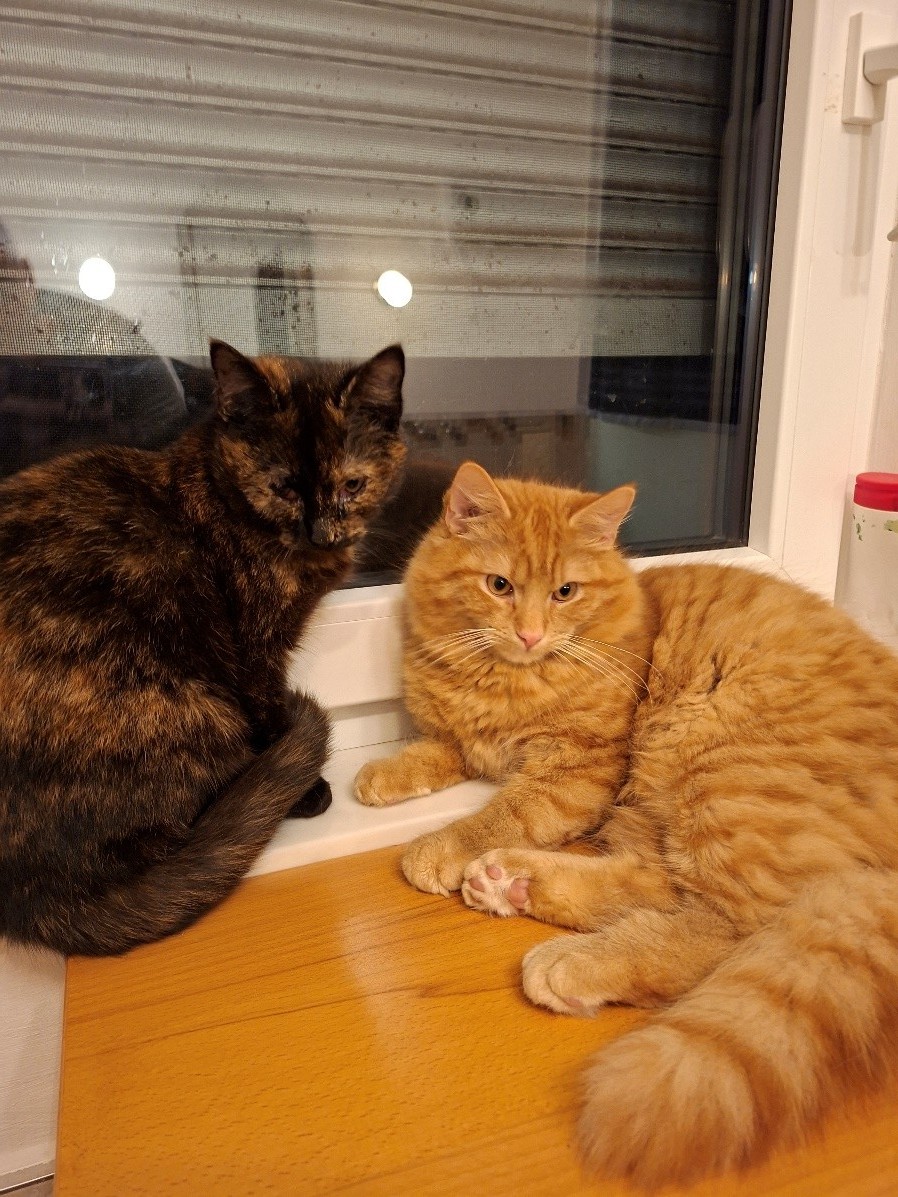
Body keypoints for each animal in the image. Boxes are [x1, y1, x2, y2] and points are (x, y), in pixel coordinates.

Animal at [0, 339, 406, 957]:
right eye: (284, 487)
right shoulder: (255, 647)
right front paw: (304, 787)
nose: (321, 533)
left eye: (352, 486)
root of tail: (25, 894)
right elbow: (266, 705)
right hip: (190, 706)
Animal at [354, 460, 898, 1188]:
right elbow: (436, 748)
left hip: (722, 782)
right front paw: (380, 775)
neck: (504, 677)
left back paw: (570, 958)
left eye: (565, 592)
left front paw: (442, 846)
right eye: (499, 586)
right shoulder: (470, 741)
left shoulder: (578, 771)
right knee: (657, 886)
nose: (529, 633)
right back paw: (511, 884)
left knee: (729, 931)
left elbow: (502, 812)